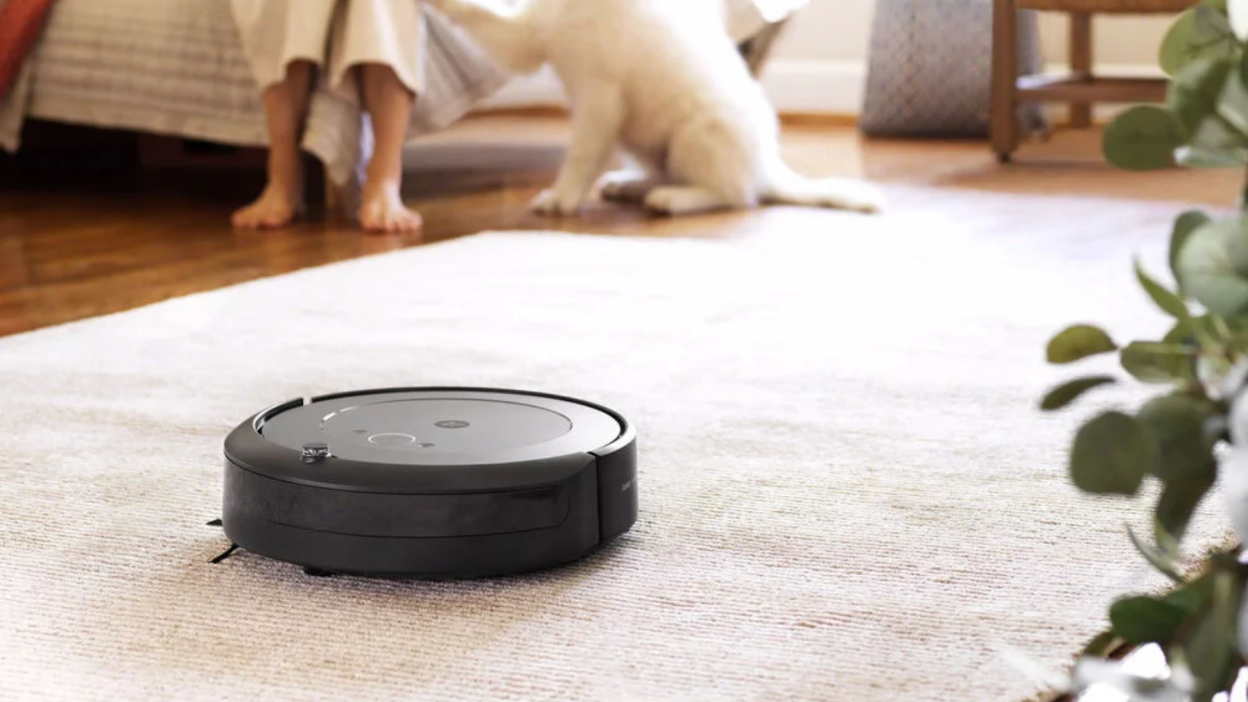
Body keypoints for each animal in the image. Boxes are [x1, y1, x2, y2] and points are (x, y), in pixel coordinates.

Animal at [424, 0, 883, 216]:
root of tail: (768, 167)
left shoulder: (599, 94)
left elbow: (580, 155)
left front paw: (561, 199)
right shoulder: (528, 36)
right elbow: (480, 14)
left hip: (694, 136)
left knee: (736, 195)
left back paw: (674, 200)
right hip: (642, 138)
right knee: (670, 174)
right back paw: (631, 185)